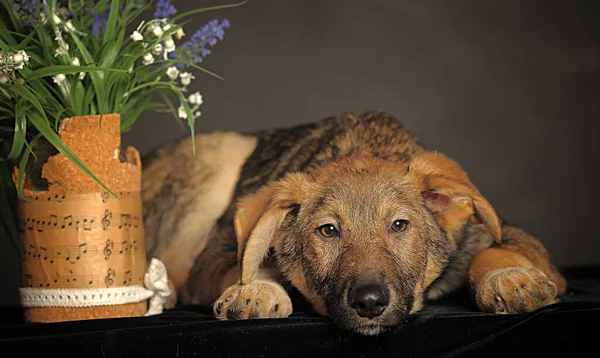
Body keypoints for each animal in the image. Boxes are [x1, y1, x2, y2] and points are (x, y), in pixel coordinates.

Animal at [143, 111, 564, 336]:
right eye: (328, 230)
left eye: (399, 225)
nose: (370, 303)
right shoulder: (213, 257)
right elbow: (254, 262)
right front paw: (257, 289)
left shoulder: (511, 236)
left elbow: (493, 253)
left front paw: (509, 278)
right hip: (215, 154)